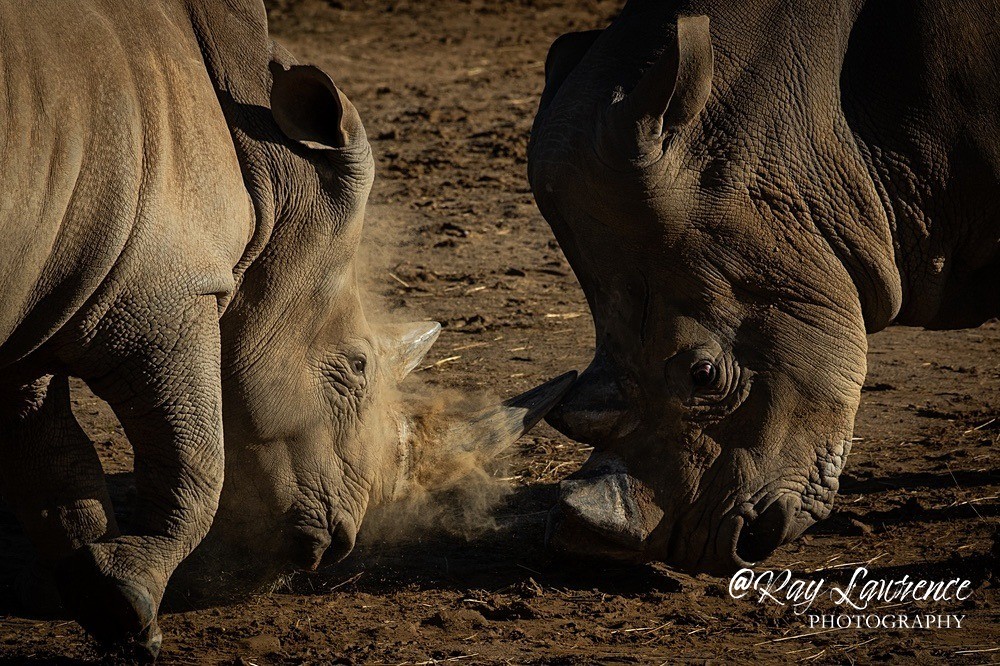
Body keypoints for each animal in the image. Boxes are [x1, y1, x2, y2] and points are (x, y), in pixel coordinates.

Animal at [0, 0, 572, 658]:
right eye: (356, 366)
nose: (338, 548)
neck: (272, 178)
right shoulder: (168, 296)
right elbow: (198, 455)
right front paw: (131, 598)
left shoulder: (45, 290)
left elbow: (47, 449)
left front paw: (97, 597)